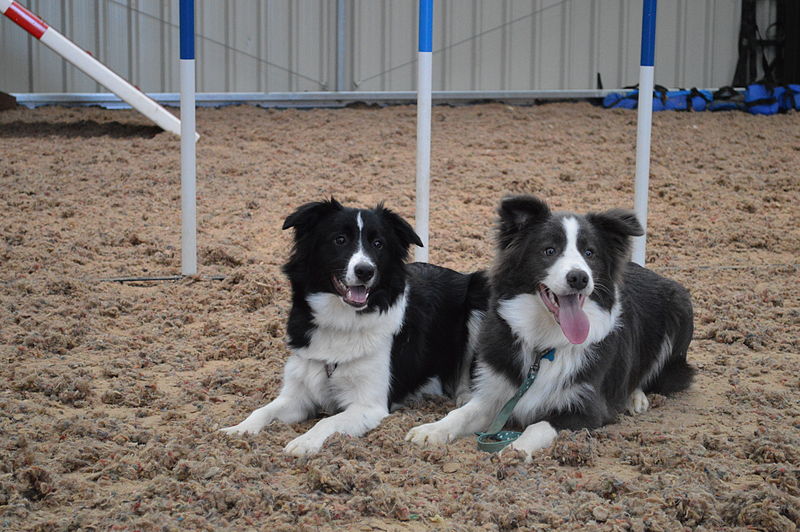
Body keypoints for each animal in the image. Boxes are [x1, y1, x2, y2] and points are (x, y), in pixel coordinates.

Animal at [222, 197, 490, 456]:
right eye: (339, 240)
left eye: (378, 244)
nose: (364, 271)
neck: (342, 321)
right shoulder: (297, 394)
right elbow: (262, 410)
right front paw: (238, 430)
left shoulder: (369, 405)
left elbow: (327, 421)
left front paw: (304, 442)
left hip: (479, 295)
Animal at [406, 194, 692, 458]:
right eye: (549, 250)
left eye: (590, 253)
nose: (579, 278)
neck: (545, 345)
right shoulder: (496, 393)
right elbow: (461, 413)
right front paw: (430, 430)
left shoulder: (586, 408)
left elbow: (539, 426)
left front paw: (514, 449)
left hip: (680, 306)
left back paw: (635, 397)